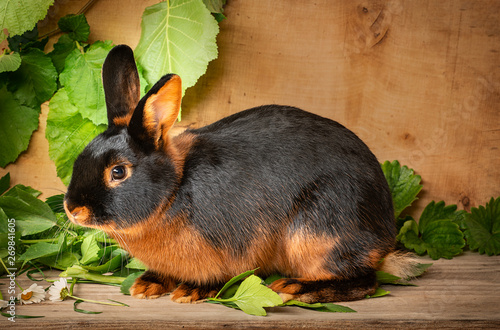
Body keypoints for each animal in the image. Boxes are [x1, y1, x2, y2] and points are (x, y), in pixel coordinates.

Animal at [63, 44, 414, 304]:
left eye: (118, 172)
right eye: (80, 158)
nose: (73, 210)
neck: (174, 190)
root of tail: (384, 232)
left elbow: (223, 275)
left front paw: (191, 291)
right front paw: (146, 285)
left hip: (317, 233)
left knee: (363, 281)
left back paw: (294, 287)